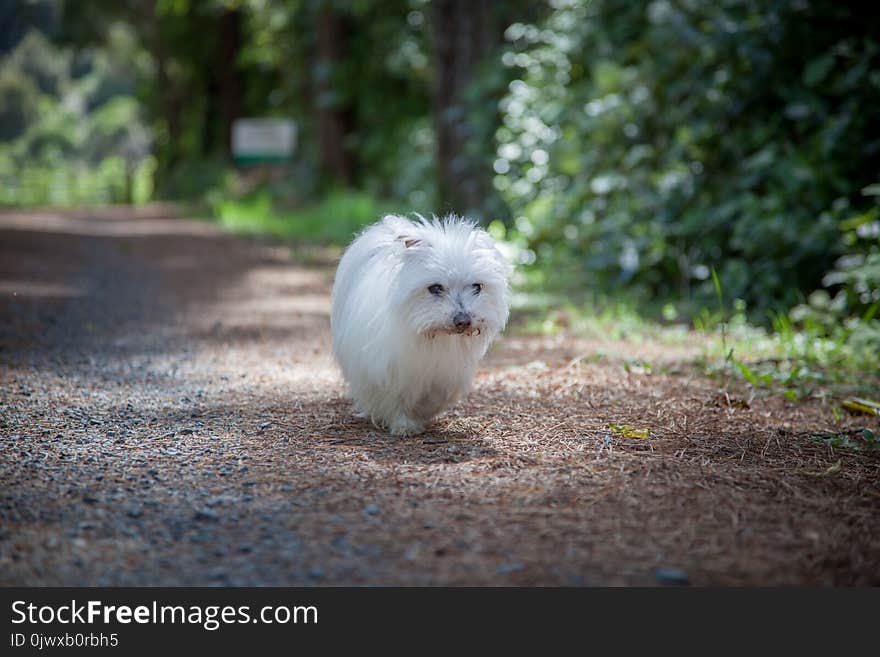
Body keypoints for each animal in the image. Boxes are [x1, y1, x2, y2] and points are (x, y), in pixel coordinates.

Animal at [328, 214, 508, 436]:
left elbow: (438, 395)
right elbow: (393, 398)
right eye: (435, 288)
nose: (463, 321)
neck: (431, 336)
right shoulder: (386, 370)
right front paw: (404, 426)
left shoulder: (446, 371)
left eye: (477, 287)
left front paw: (423, 413)